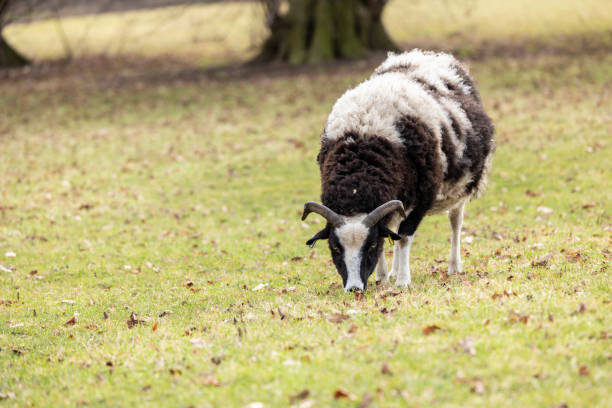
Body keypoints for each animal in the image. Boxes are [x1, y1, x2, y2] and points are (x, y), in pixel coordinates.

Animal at [304, 49, 494, 292]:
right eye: (335, 247)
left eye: (370, 245)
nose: (354, 289)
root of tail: (426, 54)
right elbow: (389, 234)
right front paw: (383, 277)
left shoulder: (423, 197)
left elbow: (403, 236)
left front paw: (403, 281)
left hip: (460, 188)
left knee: (455, 222)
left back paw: (453, 266)